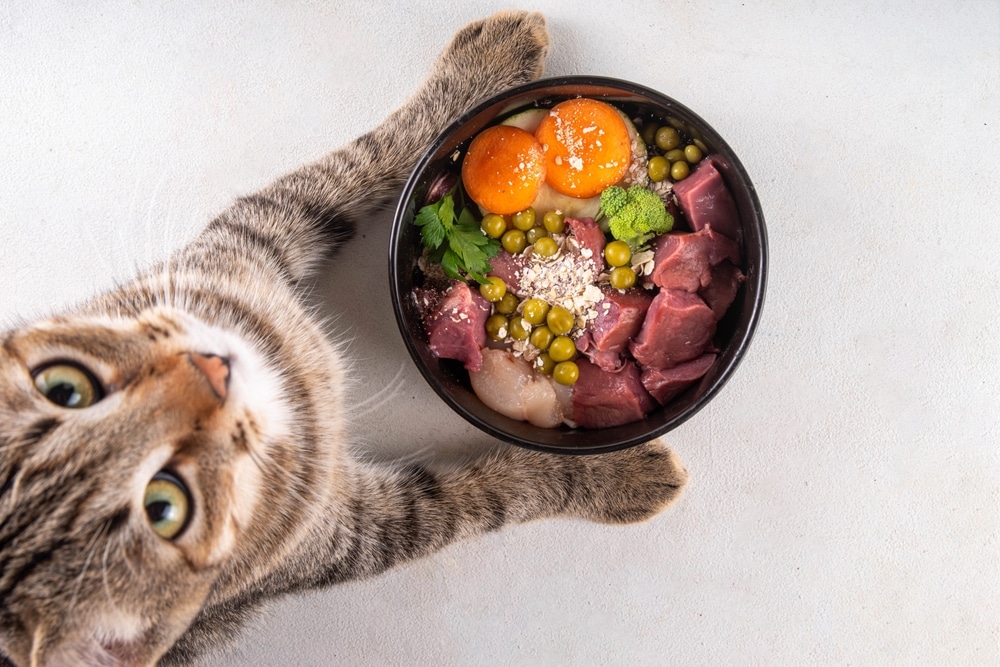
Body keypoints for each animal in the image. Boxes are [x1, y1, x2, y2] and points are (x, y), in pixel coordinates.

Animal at [0, 11, 688, 667]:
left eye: (66, 387)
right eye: (164, 508)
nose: (209, 370)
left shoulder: (254, 232)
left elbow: (352, 165)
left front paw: (486, 64)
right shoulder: (353, 535)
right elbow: (485, 496)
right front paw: (619, 475)